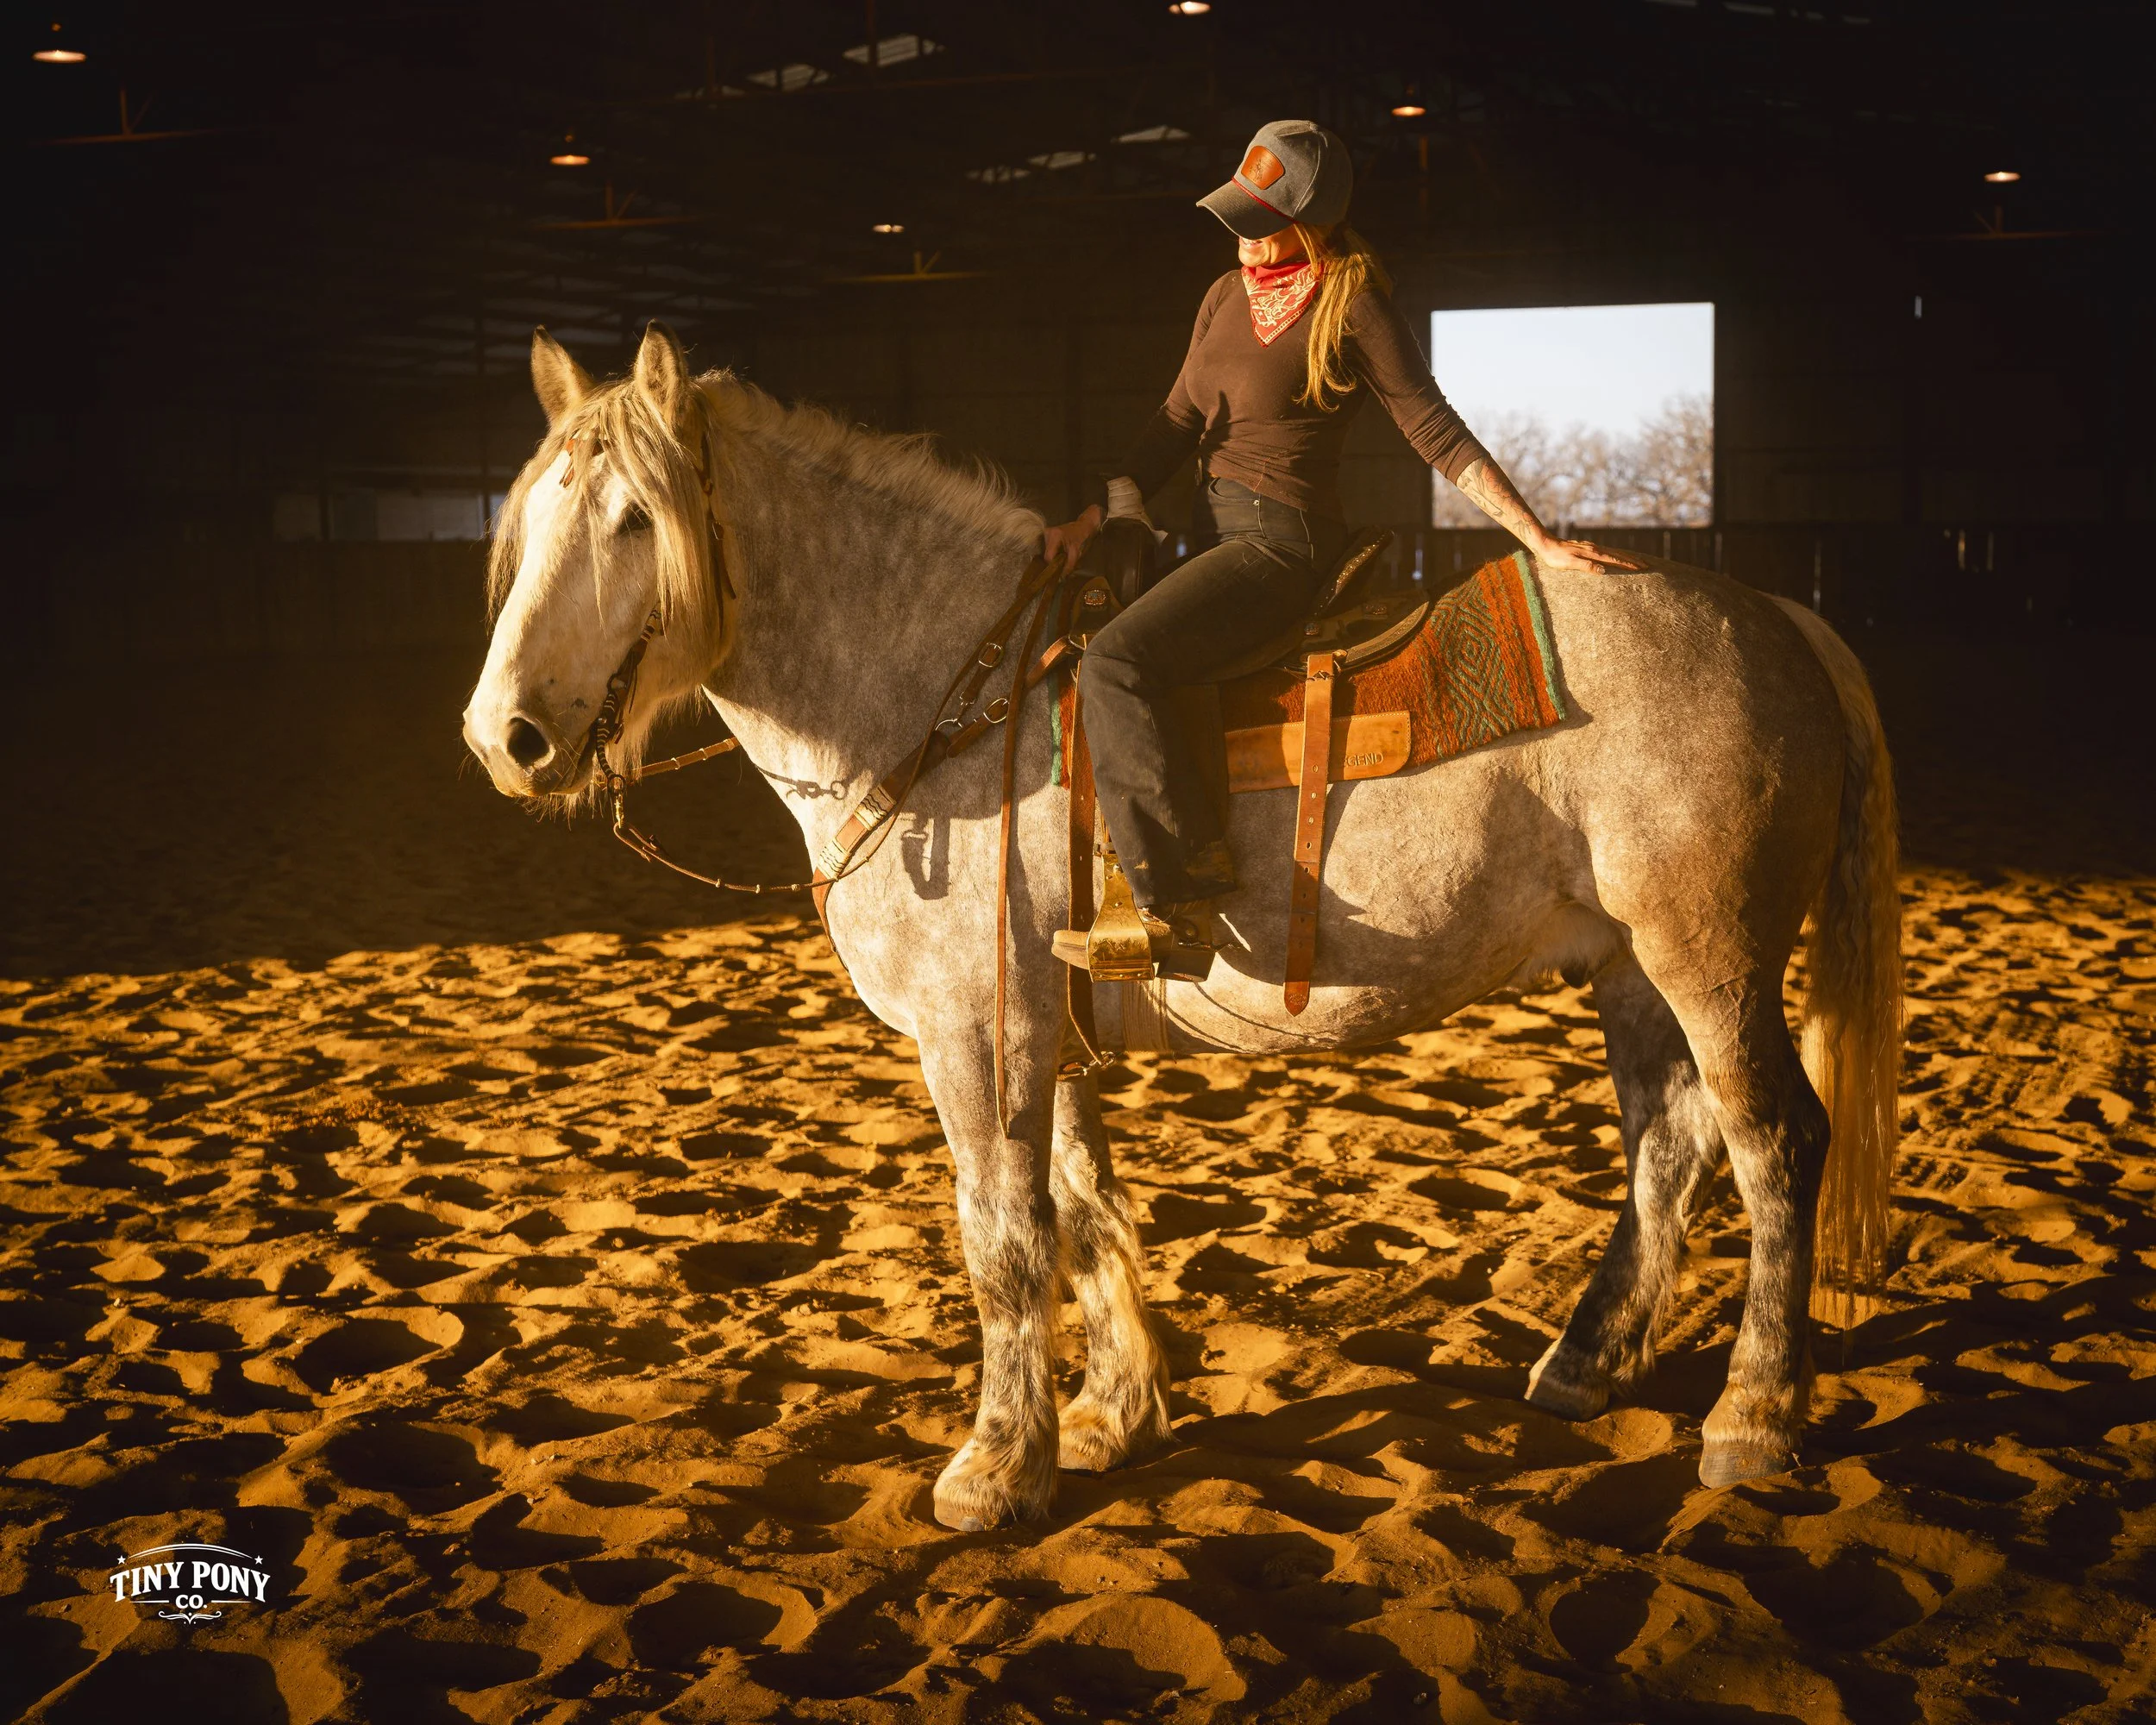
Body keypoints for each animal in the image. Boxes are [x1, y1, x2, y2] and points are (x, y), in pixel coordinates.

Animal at [463, 323, 1901, 1533]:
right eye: (529, 520)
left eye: (635, 520)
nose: (503, 737)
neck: (951, 697)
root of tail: (1777, 618)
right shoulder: (1043, 1032)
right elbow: (1083, 1210)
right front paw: (1111, 1413)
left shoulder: (975, 1033)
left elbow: (1002, 1242)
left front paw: (995, 1468)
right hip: (1631, 970)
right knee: (1670, 1141)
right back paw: (1585, 1361)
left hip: (1711, 962)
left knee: (1774, 1145)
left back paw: (1753, 1416)